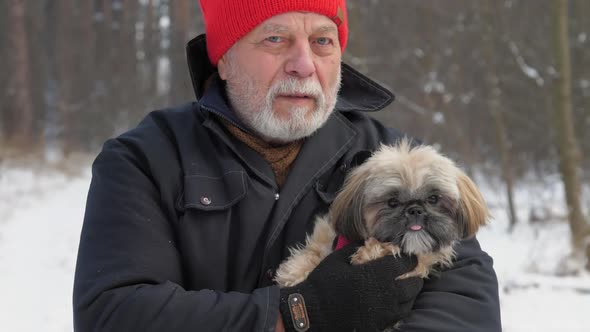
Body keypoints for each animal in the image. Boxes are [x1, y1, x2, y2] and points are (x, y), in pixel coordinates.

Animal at [276, 139, 492, 288]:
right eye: (392, 202)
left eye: (433, 198)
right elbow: (313, 252)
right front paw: (293, 273)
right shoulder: (326, 237)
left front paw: (373, 251)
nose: (415, 210)